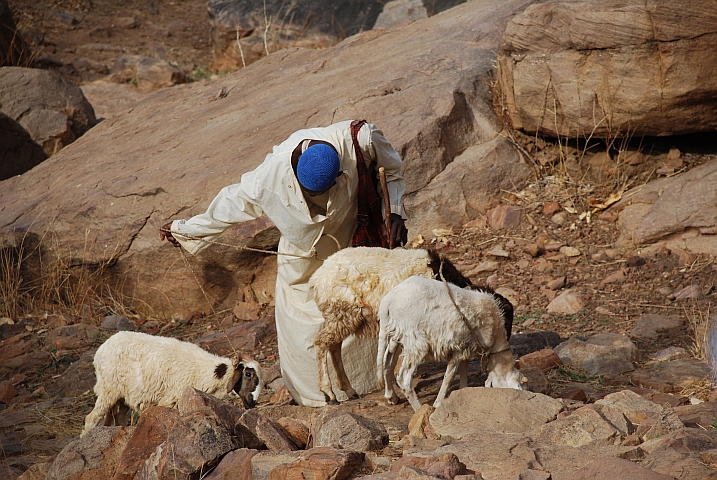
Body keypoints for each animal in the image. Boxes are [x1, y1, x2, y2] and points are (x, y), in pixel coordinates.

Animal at [81, 332, 266, 436]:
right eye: (248, 374)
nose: (252, 403)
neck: (203, 371)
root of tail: (101, 349)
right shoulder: (170, 400)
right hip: (108, 388)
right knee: (91, 418)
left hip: (121, 397)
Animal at [306, 246, 470, 404]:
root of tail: (316, 279)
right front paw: (392, 394)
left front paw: (392, 392)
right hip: (343, 312)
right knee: (321, 342)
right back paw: (329, 392)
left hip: (340, 317)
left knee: (334, 347)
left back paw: (349, 390)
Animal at [378, 276, 524, 410]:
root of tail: (388, 301)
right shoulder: (459, 349)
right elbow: (450, 375)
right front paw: (438, 403)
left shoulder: (468, 347)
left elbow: (464, 368)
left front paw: (463, 390)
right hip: (416, 342)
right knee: (404, 379)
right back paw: (420, 408)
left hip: (396, 334)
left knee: (387, 362)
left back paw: (391, 396)